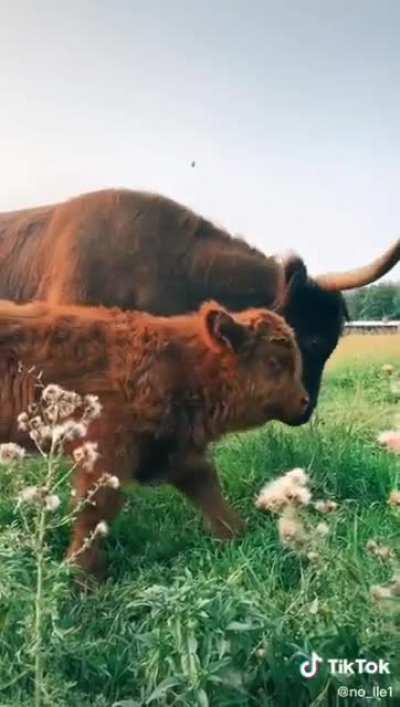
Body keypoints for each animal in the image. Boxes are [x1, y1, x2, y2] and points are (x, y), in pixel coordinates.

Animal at [0, 298, 307, 578]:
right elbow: (95, 511)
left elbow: (208, 491)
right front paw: (83, 578)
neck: (181, 364)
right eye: (275, 361)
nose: (305, 403)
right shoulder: (106, 455)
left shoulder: (174, 450)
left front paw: (240, 538)